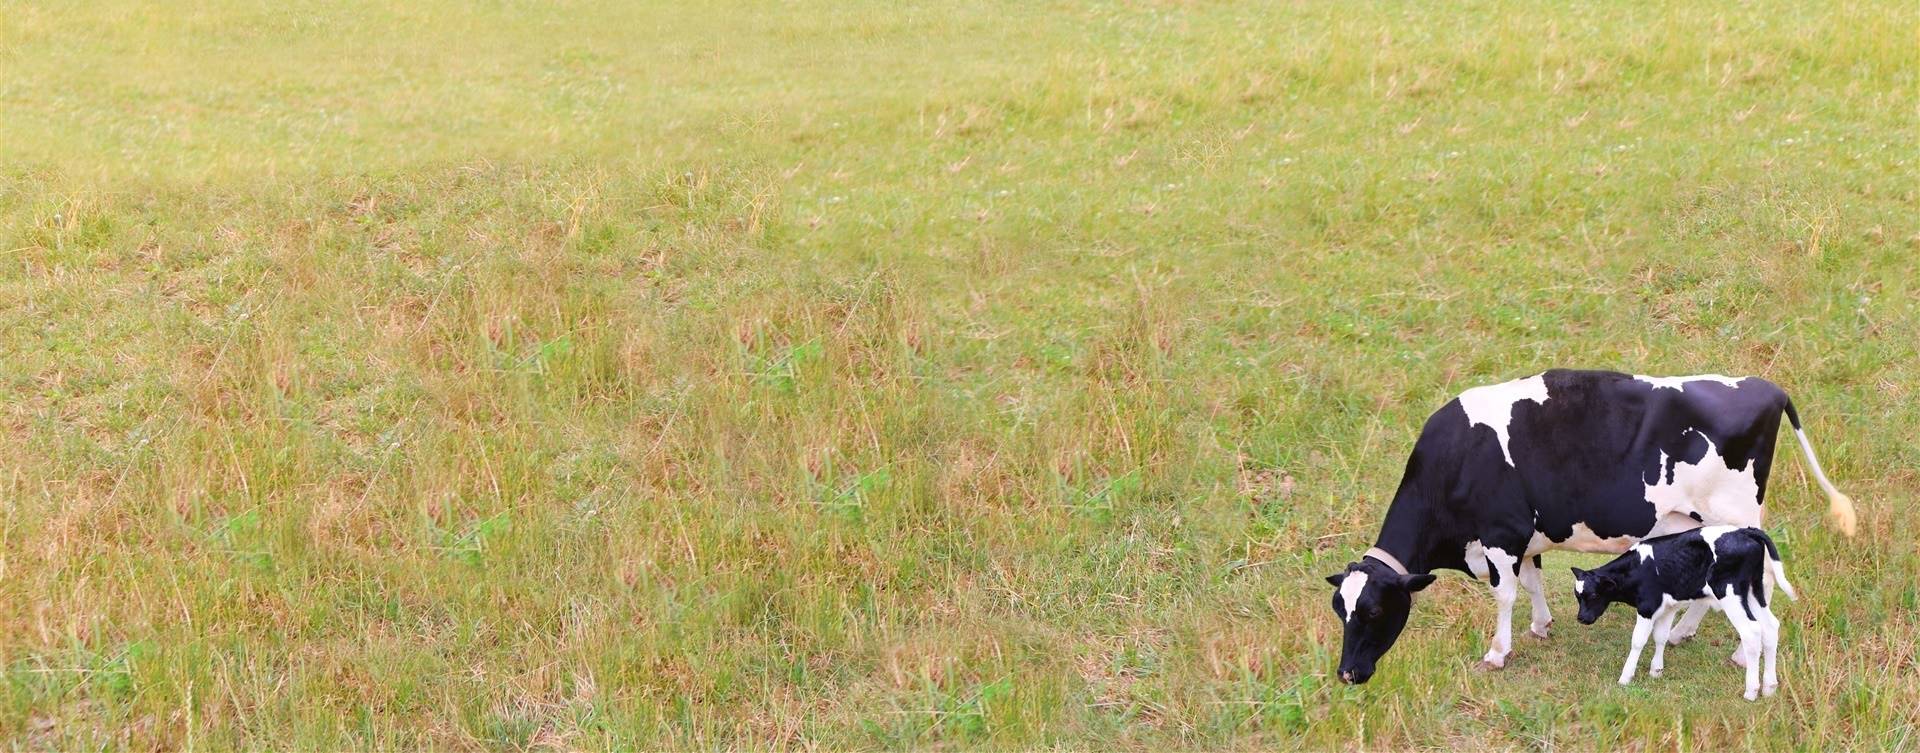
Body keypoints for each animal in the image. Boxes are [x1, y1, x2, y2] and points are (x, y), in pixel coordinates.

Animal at [1571, 525, 1796, 700]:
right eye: (1577, 596)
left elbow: (1638, 641)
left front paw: (1625, 677)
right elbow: (1660, 636)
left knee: (1752, 632)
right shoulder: (1668, 607)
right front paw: (1656, 670)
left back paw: (1751, 691)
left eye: (1593, 595)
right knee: (1770, 627)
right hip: (1753, 590)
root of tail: (1744, 530)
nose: (1581, 618)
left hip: (1729, 593)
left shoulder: (1647, 607)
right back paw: (1769, 687)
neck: (1637, 569)